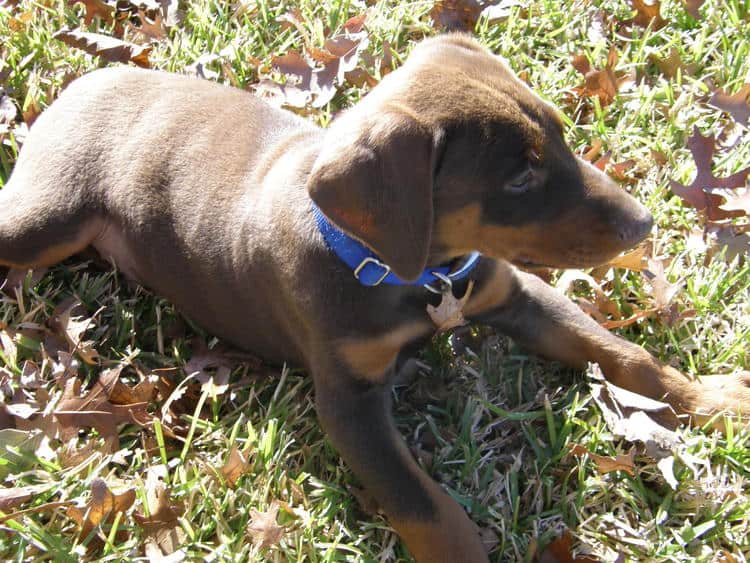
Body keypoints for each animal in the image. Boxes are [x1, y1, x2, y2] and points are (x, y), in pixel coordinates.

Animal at [1, 34, 750, 560]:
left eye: (561, 134)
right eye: (517, 179)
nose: (643, 224)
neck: (412, 275)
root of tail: (83, 81)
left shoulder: (510, 289)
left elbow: (624, 354)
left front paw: (715, 400)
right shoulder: (349, 402)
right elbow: (429, 509)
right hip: (45, 219)